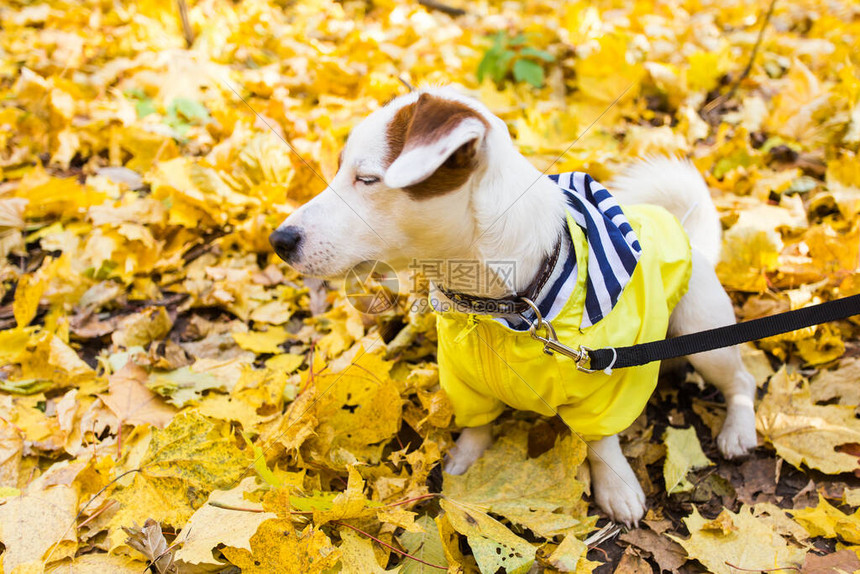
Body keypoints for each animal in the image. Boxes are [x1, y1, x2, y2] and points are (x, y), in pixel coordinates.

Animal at [270, 85, 760, 528]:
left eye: (368, 179)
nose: (279, 240)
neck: (494, 308)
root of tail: (694, 241)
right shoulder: (462, 379)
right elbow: (476, 424)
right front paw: (466, 457)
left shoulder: (605, 385)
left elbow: (602, 442)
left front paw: (615, 486)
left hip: (704, 335)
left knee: (742, 380)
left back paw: (738, 429)